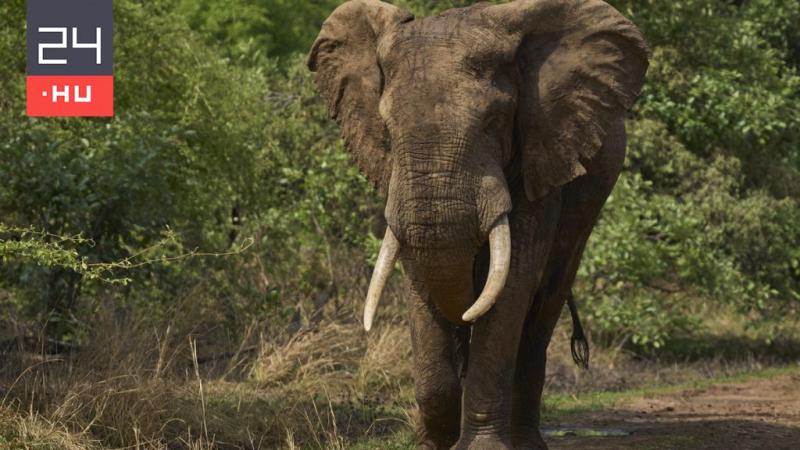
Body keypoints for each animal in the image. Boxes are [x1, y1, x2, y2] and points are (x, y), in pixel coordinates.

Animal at [308, 1, 648, 448]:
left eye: (494, 120)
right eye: (388, 127)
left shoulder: (540, 154)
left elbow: (512, 284)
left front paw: (481, 446)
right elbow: (419, 276)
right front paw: (434, 444)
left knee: (543, 309)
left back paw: (527, 442)